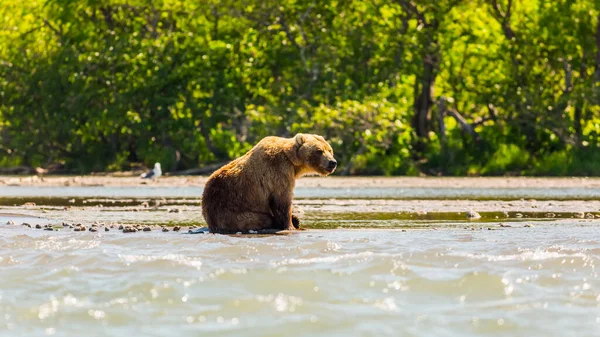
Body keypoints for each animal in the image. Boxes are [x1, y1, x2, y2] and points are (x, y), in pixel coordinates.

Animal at [203, 133, 338, 232]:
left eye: (330, 150)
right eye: (319, 151)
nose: (333, 162)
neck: (294, 164)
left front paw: (294, 221)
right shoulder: (278, 171)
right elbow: (282, 200)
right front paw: (290, 225)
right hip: (232, 211)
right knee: (261, 219)